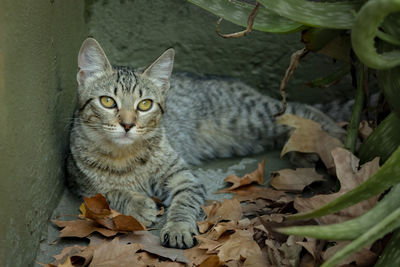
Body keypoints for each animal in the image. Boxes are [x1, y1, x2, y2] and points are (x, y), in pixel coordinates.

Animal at [67, 37, 346, 249]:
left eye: (144, 104)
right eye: (107, 101)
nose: (127, 124)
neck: (124, 155)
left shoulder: (183, 177)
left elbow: (183, 203)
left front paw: (178, 228)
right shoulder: (82, 184)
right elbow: (110, 191)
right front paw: (137, 203)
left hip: (251, 117)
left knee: (300, 108)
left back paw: (333, 138)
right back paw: (303, 153)